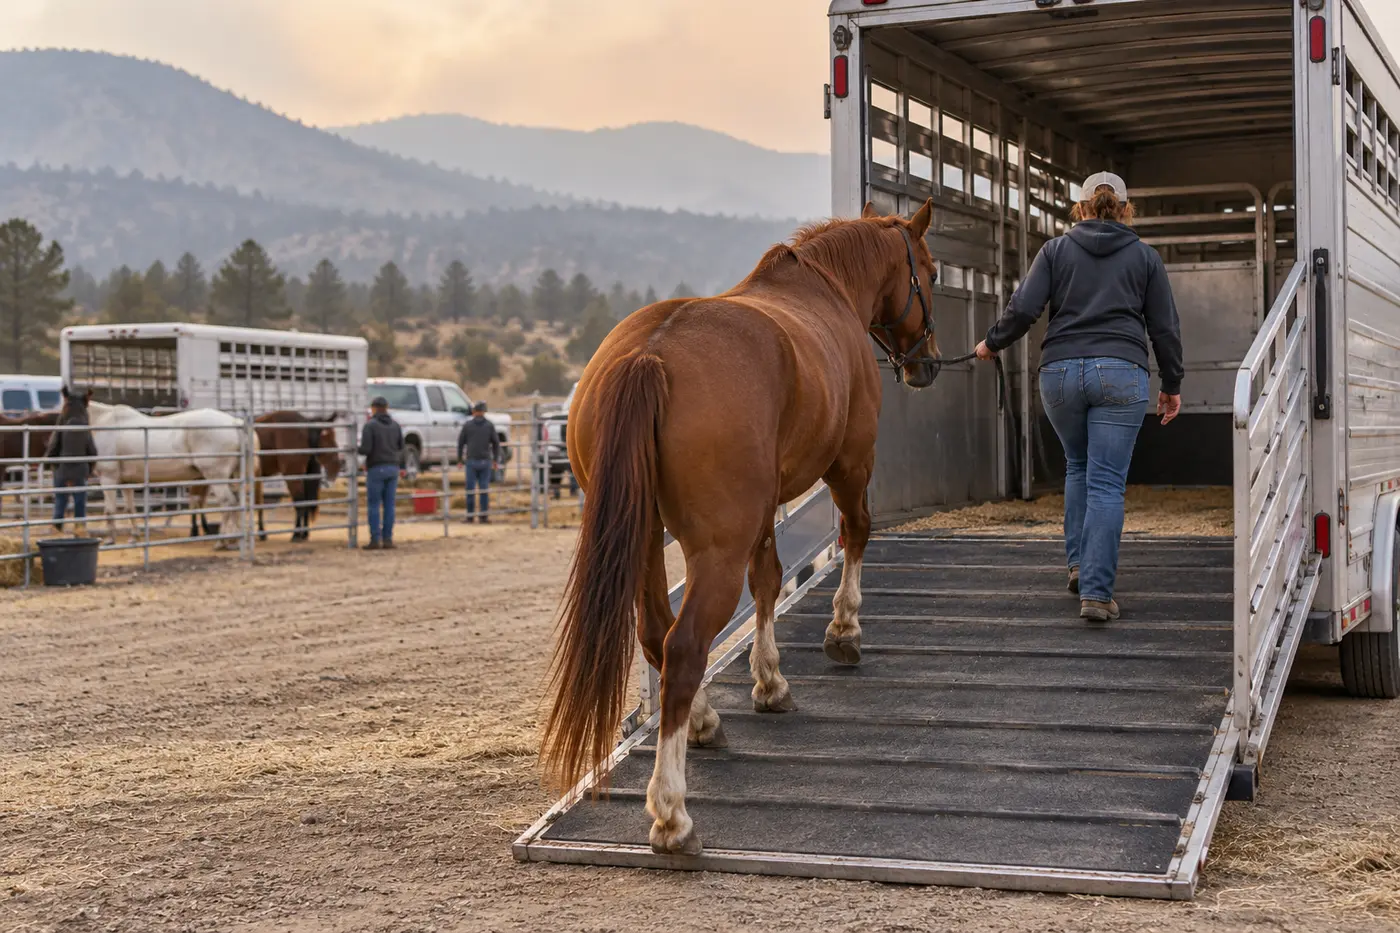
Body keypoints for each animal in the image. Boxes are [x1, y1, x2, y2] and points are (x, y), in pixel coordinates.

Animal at [82, 399, 257, 549]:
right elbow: (129, 509)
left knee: (228, 503)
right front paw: (134, 537)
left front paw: (109, 540)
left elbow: (109, 510)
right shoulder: (126, 482)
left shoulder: (108, 478)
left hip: (216, 477)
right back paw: (235, 540)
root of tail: (234, 422)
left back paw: (221, 542)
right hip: (232, 477)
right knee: (237, 503)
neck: (105, 423)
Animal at [254, 411, 344, 542]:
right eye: (326, 439)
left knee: (300, 502)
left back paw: (296, 534)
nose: (337, 466)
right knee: (304, 502)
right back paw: (304, 533)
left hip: (293, 477)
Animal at [540, 201, 942, 855]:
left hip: (647, 541)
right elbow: (855, 534)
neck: (824, 290)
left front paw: (769, 681)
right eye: (928, 271)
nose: (926, 364)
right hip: (716, 550)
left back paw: (704, 723)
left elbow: (769, 581)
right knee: (682, 646)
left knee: (657, 633)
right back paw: (671, 813)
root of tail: (649, 355)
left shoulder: (762, 511)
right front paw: (843, 632)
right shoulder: (851, 463)